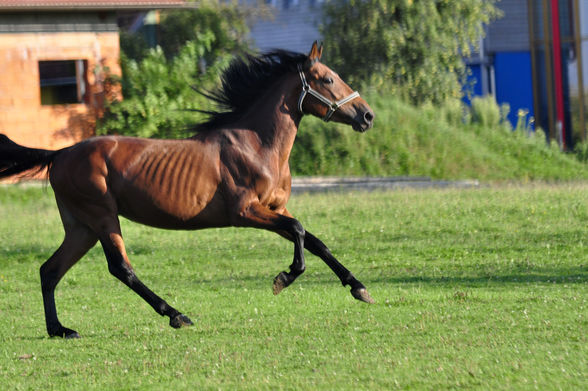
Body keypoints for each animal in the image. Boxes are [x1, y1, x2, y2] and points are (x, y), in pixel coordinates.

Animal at [0, 41, 374, 338]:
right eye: (328, 79)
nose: (367, 116)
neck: (256, 144)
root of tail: (60, 154)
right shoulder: (245, 212)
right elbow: (299, 231)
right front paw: (283, 278)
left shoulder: (274, 209)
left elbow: (315, 241)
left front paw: (359, 288)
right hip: (102, 217)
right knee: (120, 268)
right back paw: (176, 315)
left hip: (82, 227)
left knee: (49, 270)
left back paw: (60, 329)